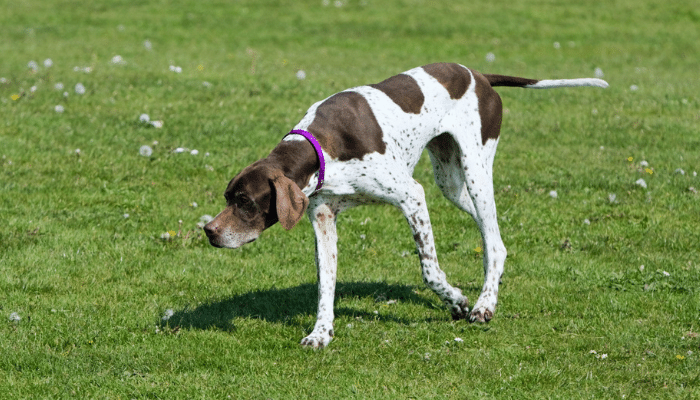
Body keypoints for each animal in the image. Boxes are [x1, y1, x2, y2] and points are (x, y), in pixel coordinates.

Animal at [204, 61, 608, 346]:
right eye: (228, 197)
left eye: (245, 201)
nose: (209, 231)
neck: (321, 147)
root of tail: (479, 75)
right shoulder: (322, 220)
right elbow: (325, 284)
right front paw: (321, 333)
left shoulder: (412, 195)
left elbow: (429, 270)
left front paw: (456, 300)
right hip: (451, 184)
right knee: (495, 237)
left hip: (476, 171)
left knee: (493, 242)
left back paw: (483, 305)